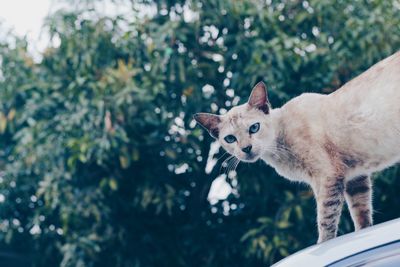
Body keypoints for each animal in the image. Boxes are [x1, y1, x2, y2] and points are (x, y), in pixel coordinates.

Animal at [194, 51, 400, 244]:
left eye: (254, 128)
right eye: (230, 138)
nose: (246, 148)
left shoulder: (327, 178)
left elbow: (326, 221)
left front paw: (322, 245)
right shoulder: (354, 176)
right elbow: (361, 214)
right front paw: (363, 233)